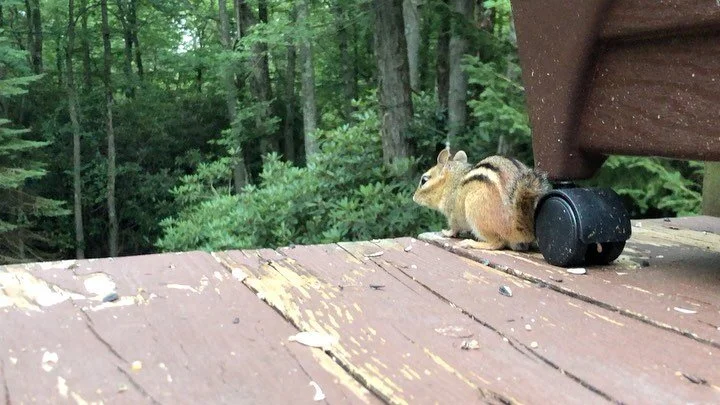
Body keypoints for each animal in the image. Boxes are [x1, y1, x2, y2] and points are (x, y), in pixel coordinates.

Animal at [413, 148, 550, 251]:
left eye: (424, 180)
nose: (414, 197)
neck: (454, 181)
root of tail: (517, 229)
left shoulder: (453, 215)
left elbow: (454, 227)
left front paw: (447, 233)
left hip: (475, 210)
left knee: (497, 243)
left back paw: (471, 243)